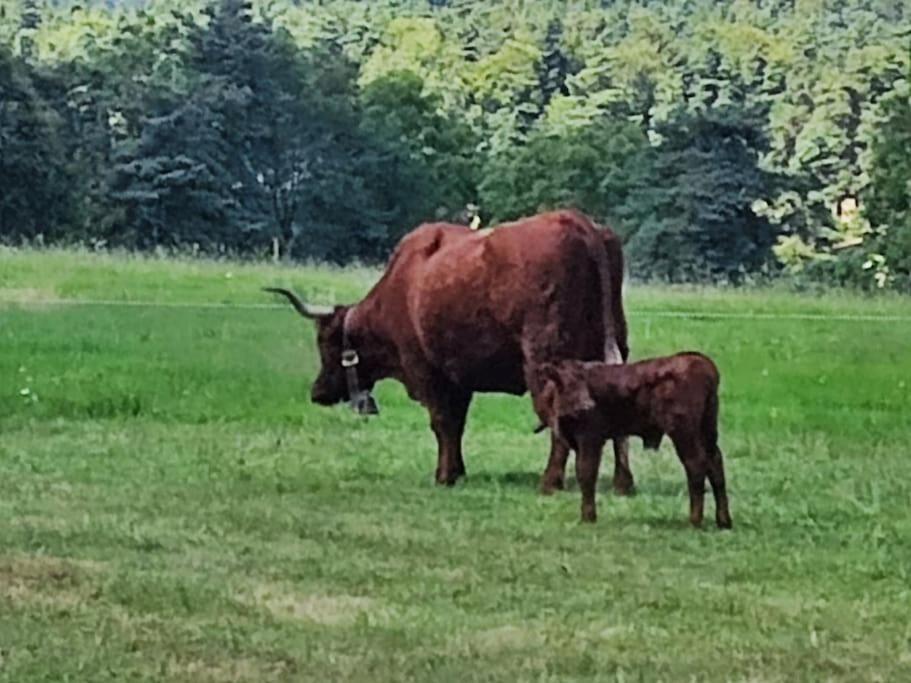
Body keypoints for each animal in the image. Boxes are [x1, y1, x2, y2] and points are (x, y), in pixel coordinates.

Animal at [268, 208, 632, 492]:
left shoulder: (428, 372)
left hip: (544, 358)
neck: (404, 284)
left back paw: (551, 482)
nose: (317, 392)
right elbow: (456, 424)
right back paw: (622, 483)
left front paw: (444, 475)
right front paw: (457, 470)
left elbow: (442, 422)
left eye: (325, 342)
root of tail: (573, 218)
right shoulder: (458, 376)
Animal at [536, 352, 732, 528]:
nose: (587, 405)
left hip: (684, 432)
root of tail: (700, 361)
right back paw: (724, 521)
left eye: (583, 382)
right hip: (707, 430)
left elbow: (586, 473)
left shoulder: (590, 439)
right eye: (564, 382)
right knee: (715, 464)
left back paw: (695, 520)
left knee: (696, 465)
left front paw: (588, 517)